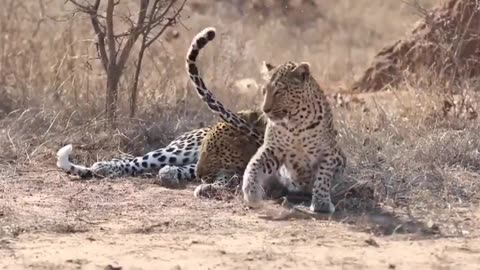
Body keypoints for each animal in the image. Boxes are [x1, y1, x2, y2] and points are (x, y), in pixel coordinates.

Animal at [186, 26, 346, 214]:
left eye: (279, 92)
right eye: (264, 91)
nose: (265, 110)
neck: (296, 123)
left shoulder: (328, 152)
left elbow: (323, 177)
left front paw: (321, 203)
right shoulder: (273, 149)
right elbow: (254, 166)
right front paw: (252, 194)